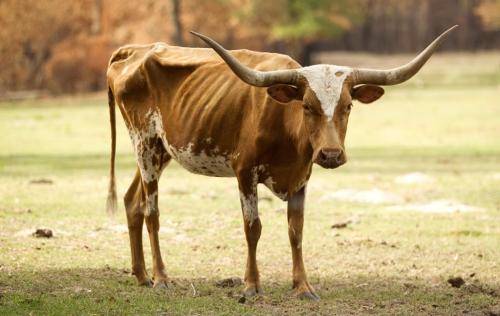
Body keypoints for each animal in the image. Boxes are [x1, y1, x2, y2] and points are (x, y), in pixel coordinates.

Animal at [105, 25, 458, 300]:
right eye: (307, 105)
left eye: (347, 106)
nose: (331, 154)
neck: (287, 130)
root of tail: (133, 51)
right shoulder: (244, 172)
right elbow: (253, 228)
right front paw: (251, 286)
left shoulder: (302, 176)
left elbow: (296, 230)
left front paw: (303, 287)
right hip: (145, 144)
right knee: (152, 211)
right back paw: (162, 278)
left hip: (161, 150)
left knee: (132, 201)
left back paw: (142, 276)